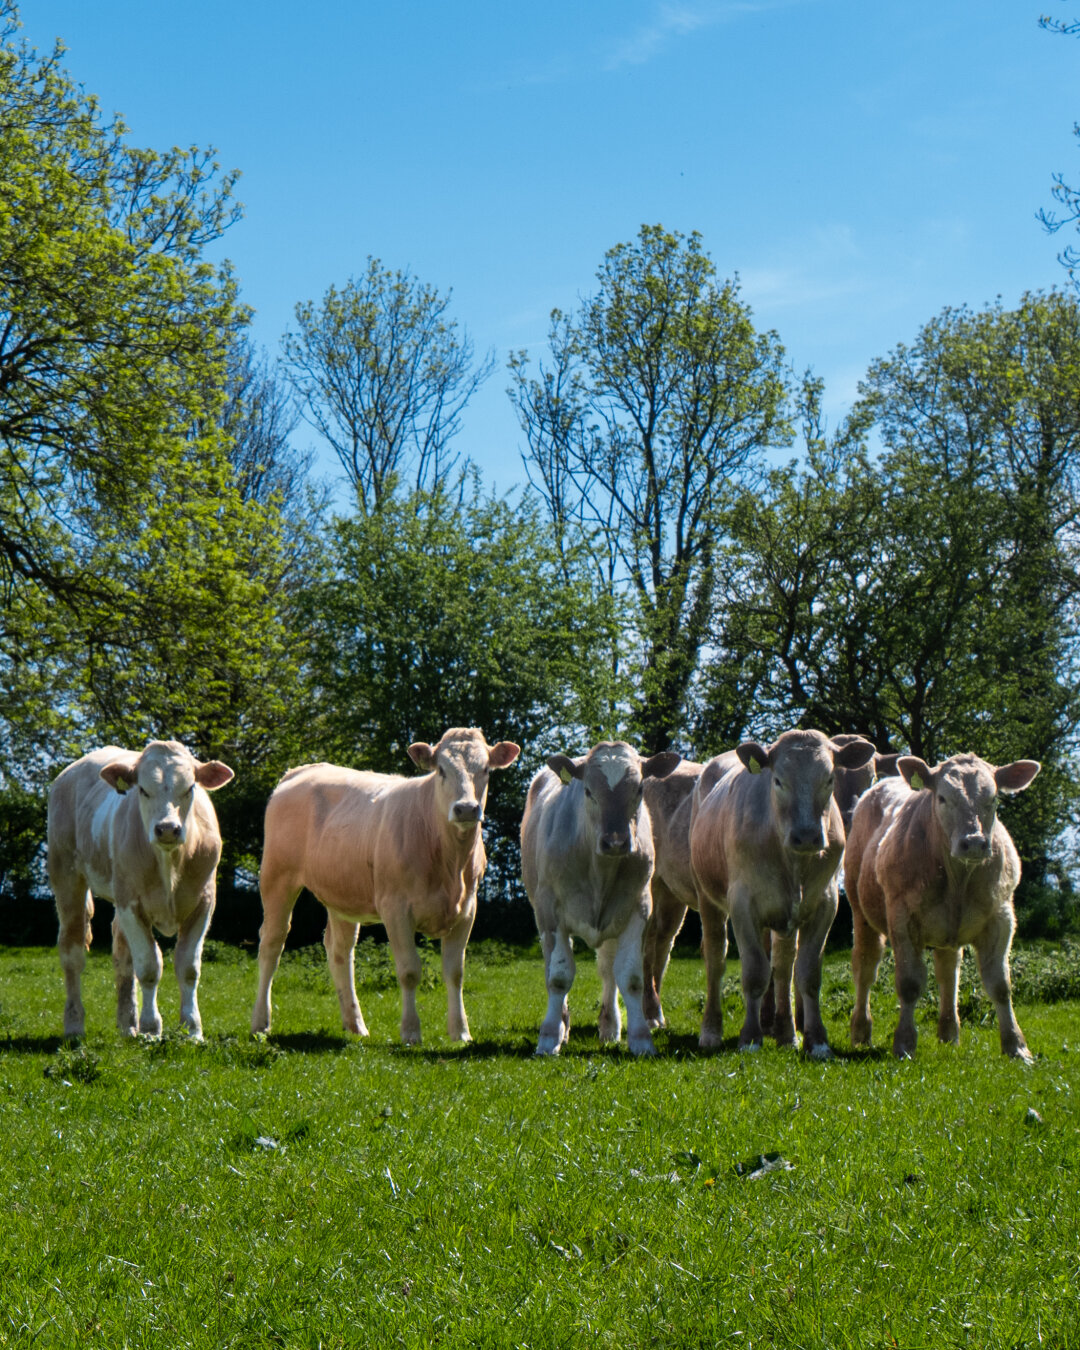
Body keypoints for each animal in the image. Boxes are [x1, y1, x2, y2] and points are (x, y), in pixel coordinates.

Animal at [47, 740, 234, 1040]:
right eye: (143, 790)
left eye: (190, 788)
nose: (167, 829)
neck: (170, 863)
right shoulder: (130, 904)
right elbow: (148, 966)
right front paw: (151, 1028)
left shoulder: (204, 902)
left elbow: (188, 967)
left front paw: (192, 1030)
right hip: (66, 876)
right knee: (72, 952)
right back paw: (75, 1026)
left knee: (122, 957)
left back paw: (128, 1025)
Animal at [251, 728, 520, 1044]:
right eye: (441, 769)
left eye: (486, 769)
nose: (466, 809)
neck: (449, 860)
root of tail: (300, 771)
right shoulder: (395, 908)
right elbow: (409, 971)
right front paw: (411, 1032)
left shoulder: (467, 909)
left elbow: (455, 972)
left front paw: (461, 1032)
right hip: (277, 877)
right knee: (272, 943)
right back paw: (260, 1023)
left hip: (342, 892)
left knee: (340, 950)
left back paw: (355, 1024)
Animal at [520, 741, 680, 1056]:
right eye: (588, 791)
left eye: (639, 789)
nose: (615, 841)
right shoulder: (549, 911)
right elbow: (558, 976)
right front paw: (549, 1037)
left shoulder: (638, 909)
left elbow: (631, 977)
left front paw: (641, 1039)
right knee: (552, 966)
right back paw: (563, 1026)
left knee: (608, 970)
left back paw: (609, 1027)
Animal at [689, 730, 875, 1055]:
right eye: (777, 780)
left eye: (829, 778)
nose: (807, 836)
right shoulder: (742, 904)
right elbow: (754, 972)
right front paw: (750, 1038)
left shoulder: (825, 903)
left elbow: (807, 973)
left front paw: (817, 1041)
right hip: (708, 896)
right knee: (715, 958)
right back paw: (711, 1031)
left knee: (783, 965)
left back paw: (786, 1033)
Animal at [844, 751, 1040, 1061]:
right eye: (942, 798)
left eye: (993, 799)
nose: (974, 843)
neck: (958, 878)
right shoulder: (902, 919)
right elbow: (909, 984)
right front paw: (904, 1044)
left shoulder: (1001, 916)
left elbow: (1000, 985)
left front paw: (1017, 1047)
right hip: (861, 912)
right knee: (865, 966)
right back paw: (861, 1032)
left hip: (949, 932)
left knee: (948, 971)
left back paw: (949, 1034)